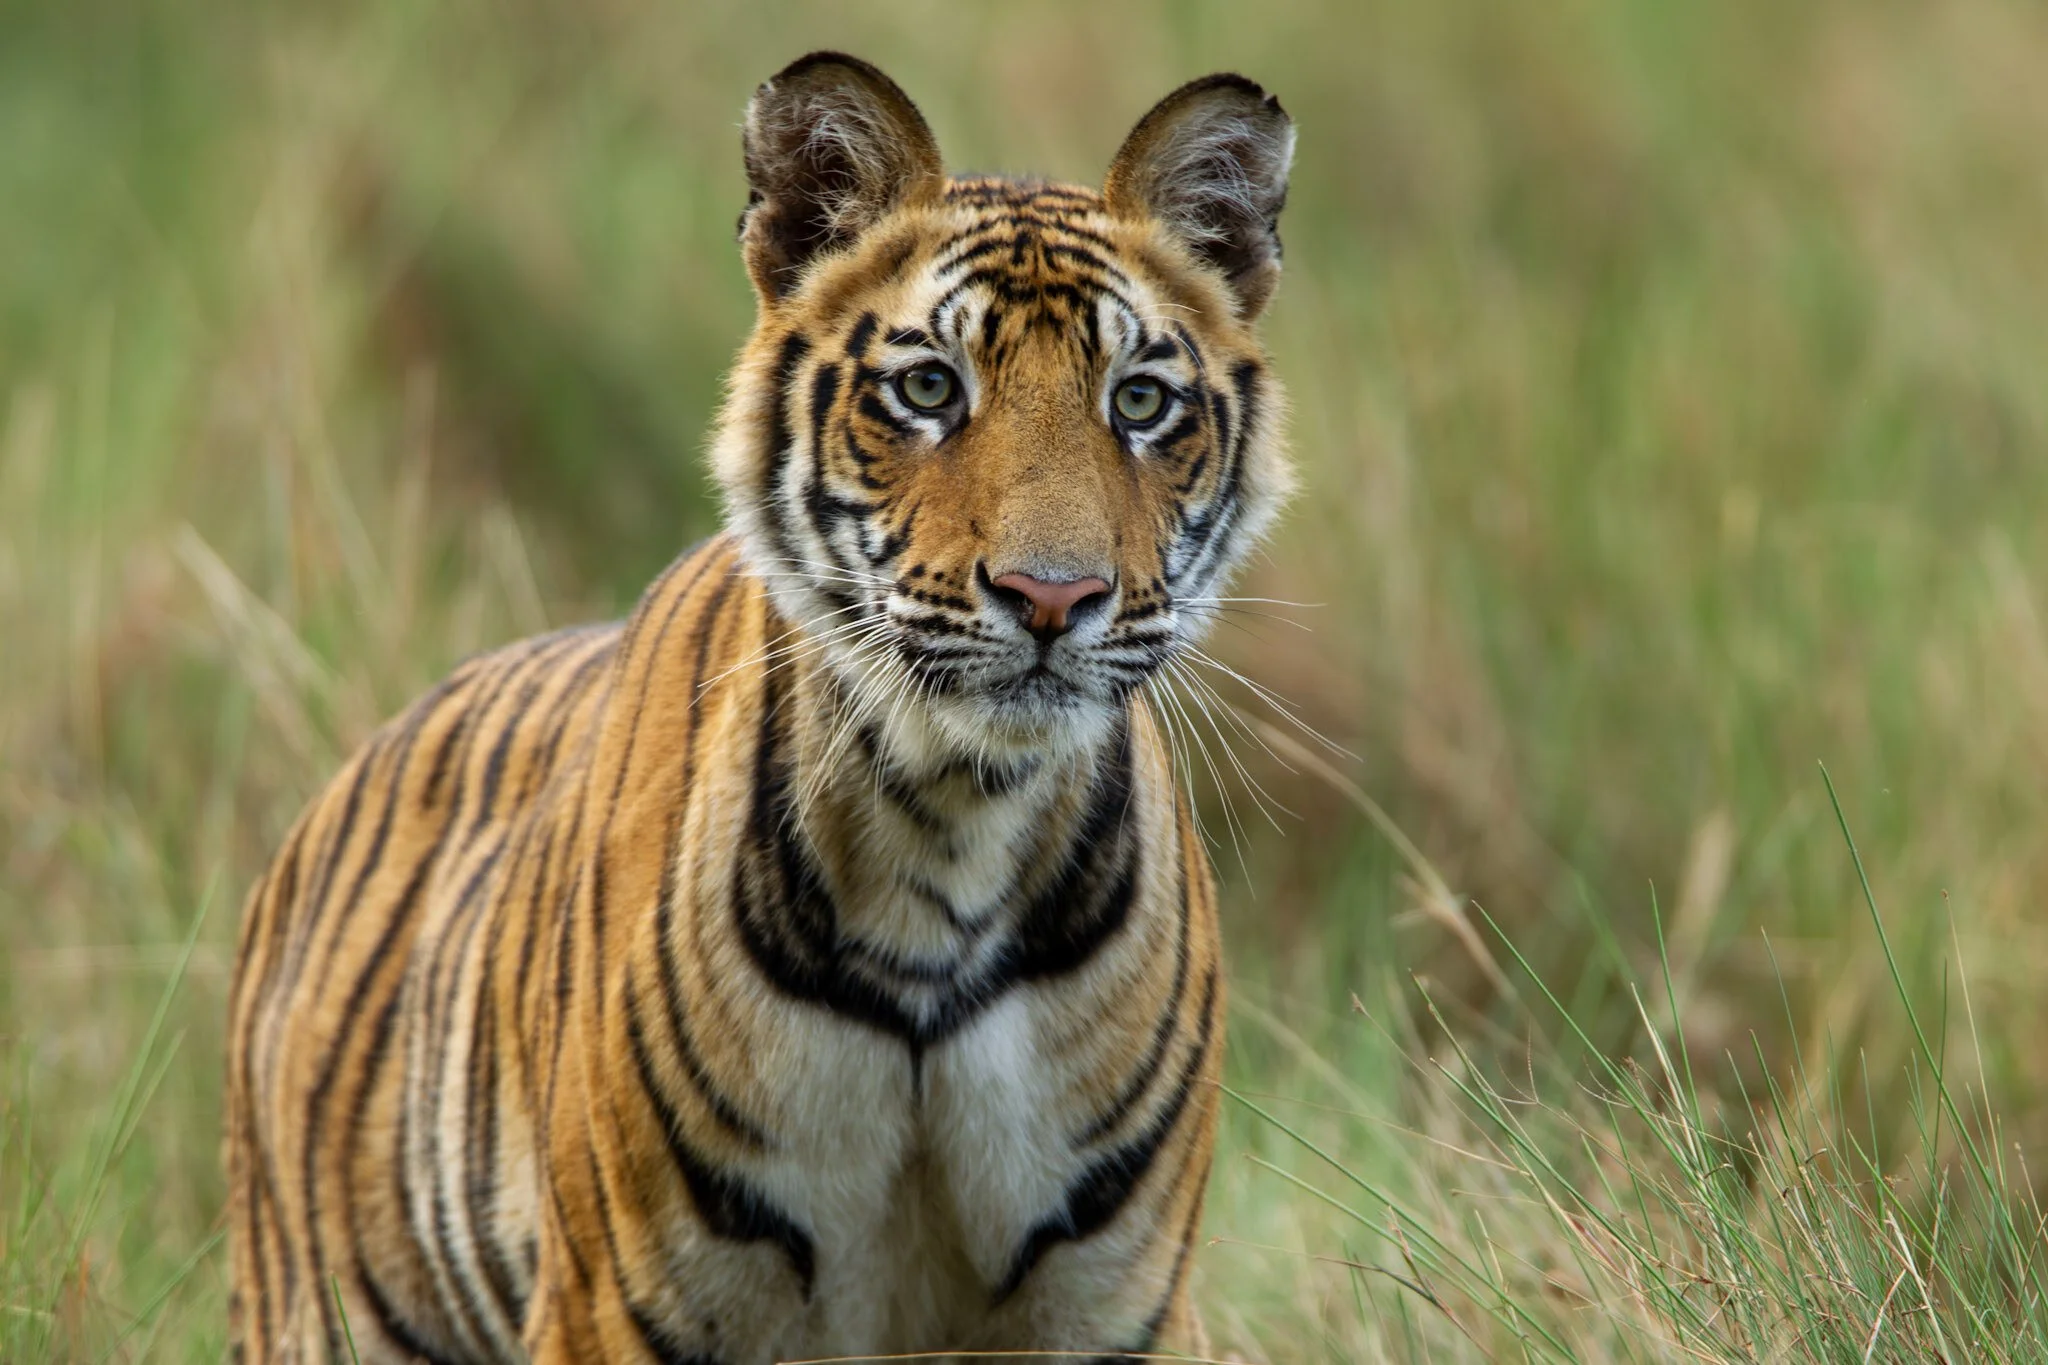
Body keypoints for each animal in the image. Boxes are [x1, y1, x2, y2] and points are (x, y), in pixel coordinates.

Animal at [225, 51, 1295, 1364]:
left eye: (1138, 403)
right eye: (928, 388)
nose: (1052, 596)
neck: (959, 824)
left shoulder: (1109, 1308)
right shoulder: (622, 1304)